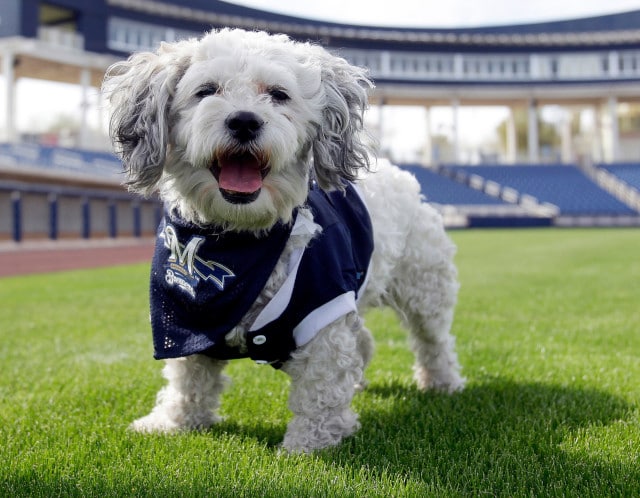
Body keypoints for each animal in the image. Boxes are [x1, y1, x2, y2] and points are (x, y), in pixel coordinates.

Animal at [105, 28, 464, 456]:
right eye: (206, 91)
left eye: (278, 94)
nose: (244, 120)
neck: (241, 240)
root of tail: (400, 175)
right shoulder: (183, 322)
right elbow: (188, 381)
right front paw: (173, 422)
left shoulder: (324, 313)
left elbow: (320, 390)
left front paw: (307, 446)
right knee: (364, 340)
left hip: (424, 288)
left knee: (433, 340)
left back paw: (443, 382)